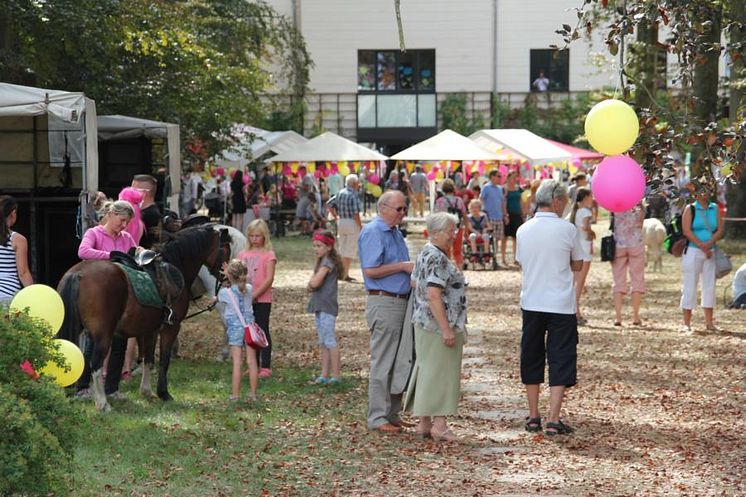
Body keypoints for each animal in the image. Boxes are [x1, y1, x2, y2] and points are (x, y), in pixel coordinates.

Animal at [58, 225, 228, 410]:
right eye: (226, 248)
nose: (226, 276)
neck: (176, 266)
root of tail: (79, 273)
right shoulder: (171, 327)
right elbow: (164, 361)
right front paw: (164, 393)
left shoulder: (150, 330)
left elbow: (148, 358)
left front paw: (146, 390)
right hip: (103, 335)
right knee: (95, 364)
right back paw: (103, 403)